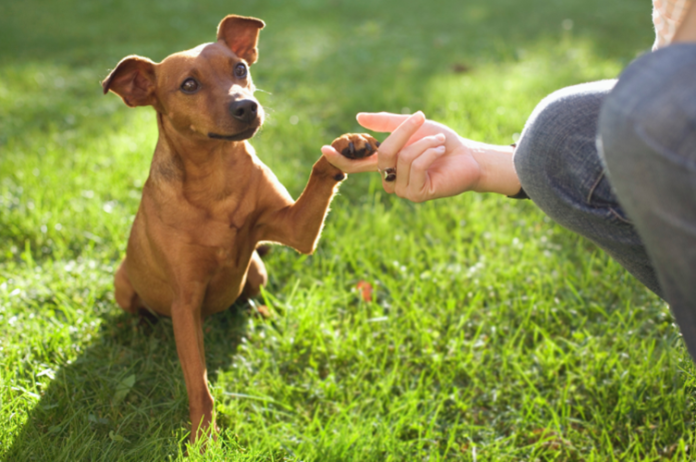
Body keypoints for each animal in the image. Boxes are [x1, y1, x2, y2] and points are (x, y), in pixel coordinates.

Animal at [100, 14, 378, 444]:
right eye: (189, 85)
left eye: (240, 69)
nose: (247, 105)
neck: (217, 178)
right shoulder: (185, 303)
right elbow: (198, 383)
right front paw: (202, 436)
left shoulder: (295, 230)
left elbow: (319, 177)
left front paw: (346, 144)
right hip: (123, 281)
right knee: (139, 309)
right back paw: (144, 325)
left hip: (256, 268)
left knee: (250, 292)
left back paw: (261, 310)